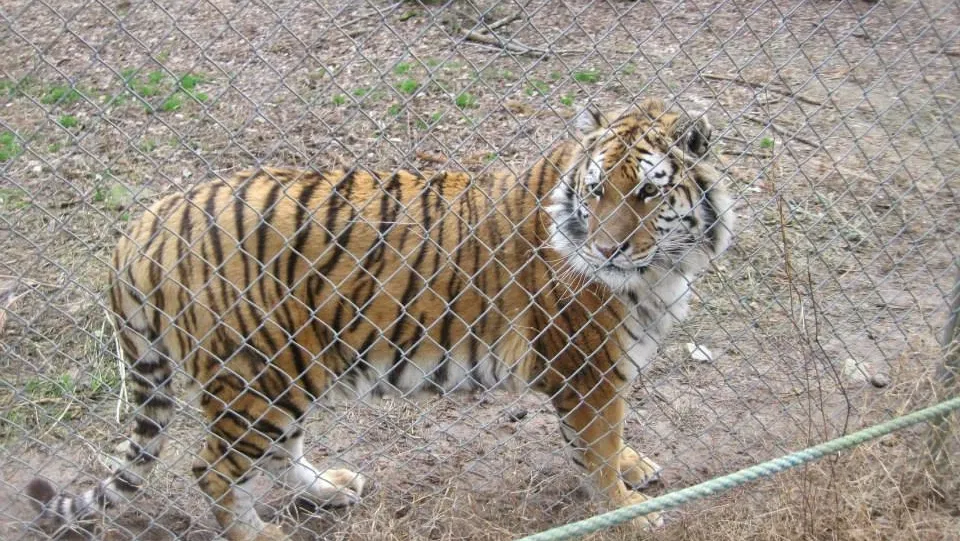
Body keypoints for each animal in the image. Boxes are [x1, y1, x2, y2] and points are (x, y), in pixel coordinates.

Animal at [25, 97, 733, 540]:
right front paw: (631, 513)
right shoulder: (586, 372)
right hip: (258, 375)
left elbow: (610, 443)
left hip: (287, 370)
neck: (664, 266)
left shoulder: (605, 373)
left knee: (274, 454)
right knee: (213, 469)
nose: (607, 250)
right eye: (597, 189)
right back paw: (265, 535)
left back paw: (332, 488)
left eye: (647, 192)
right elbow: (598, 450)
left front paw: (635, 469)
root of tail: (143, 222)